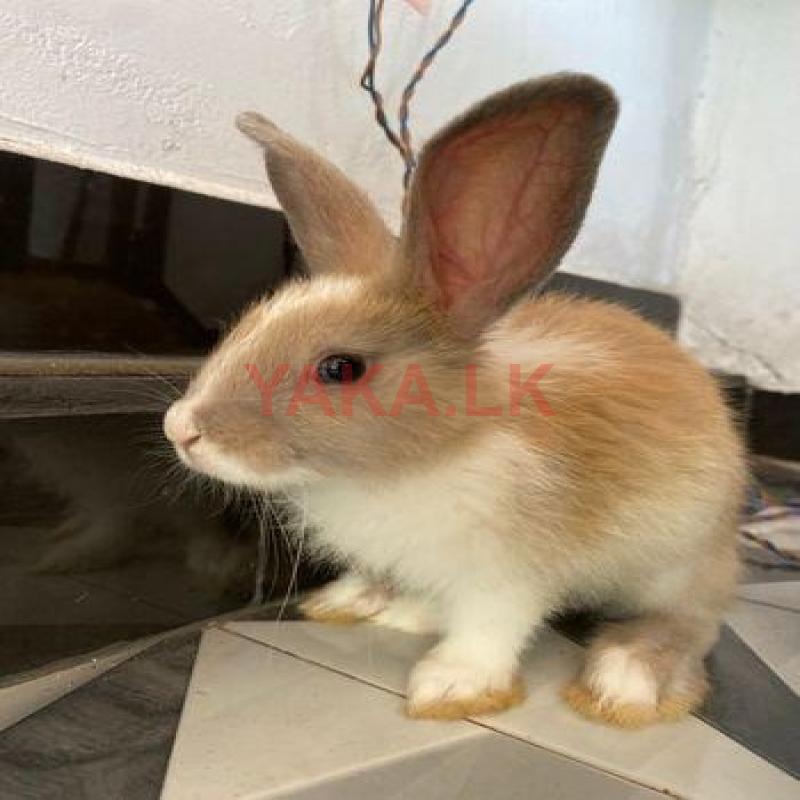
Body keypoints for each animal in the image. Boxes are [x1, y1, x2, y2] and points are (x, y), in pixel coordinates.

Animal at [163, 73, 744, 725]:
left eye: (340, 368)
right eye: (249, 323)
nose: (181, 428)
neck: (419, 461)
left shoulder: (508, 574)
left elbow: (489, 630)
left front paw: (451, 688)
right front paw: (369, 603)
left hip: (676, 564)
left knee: (694, 621)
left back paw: (626, 677)